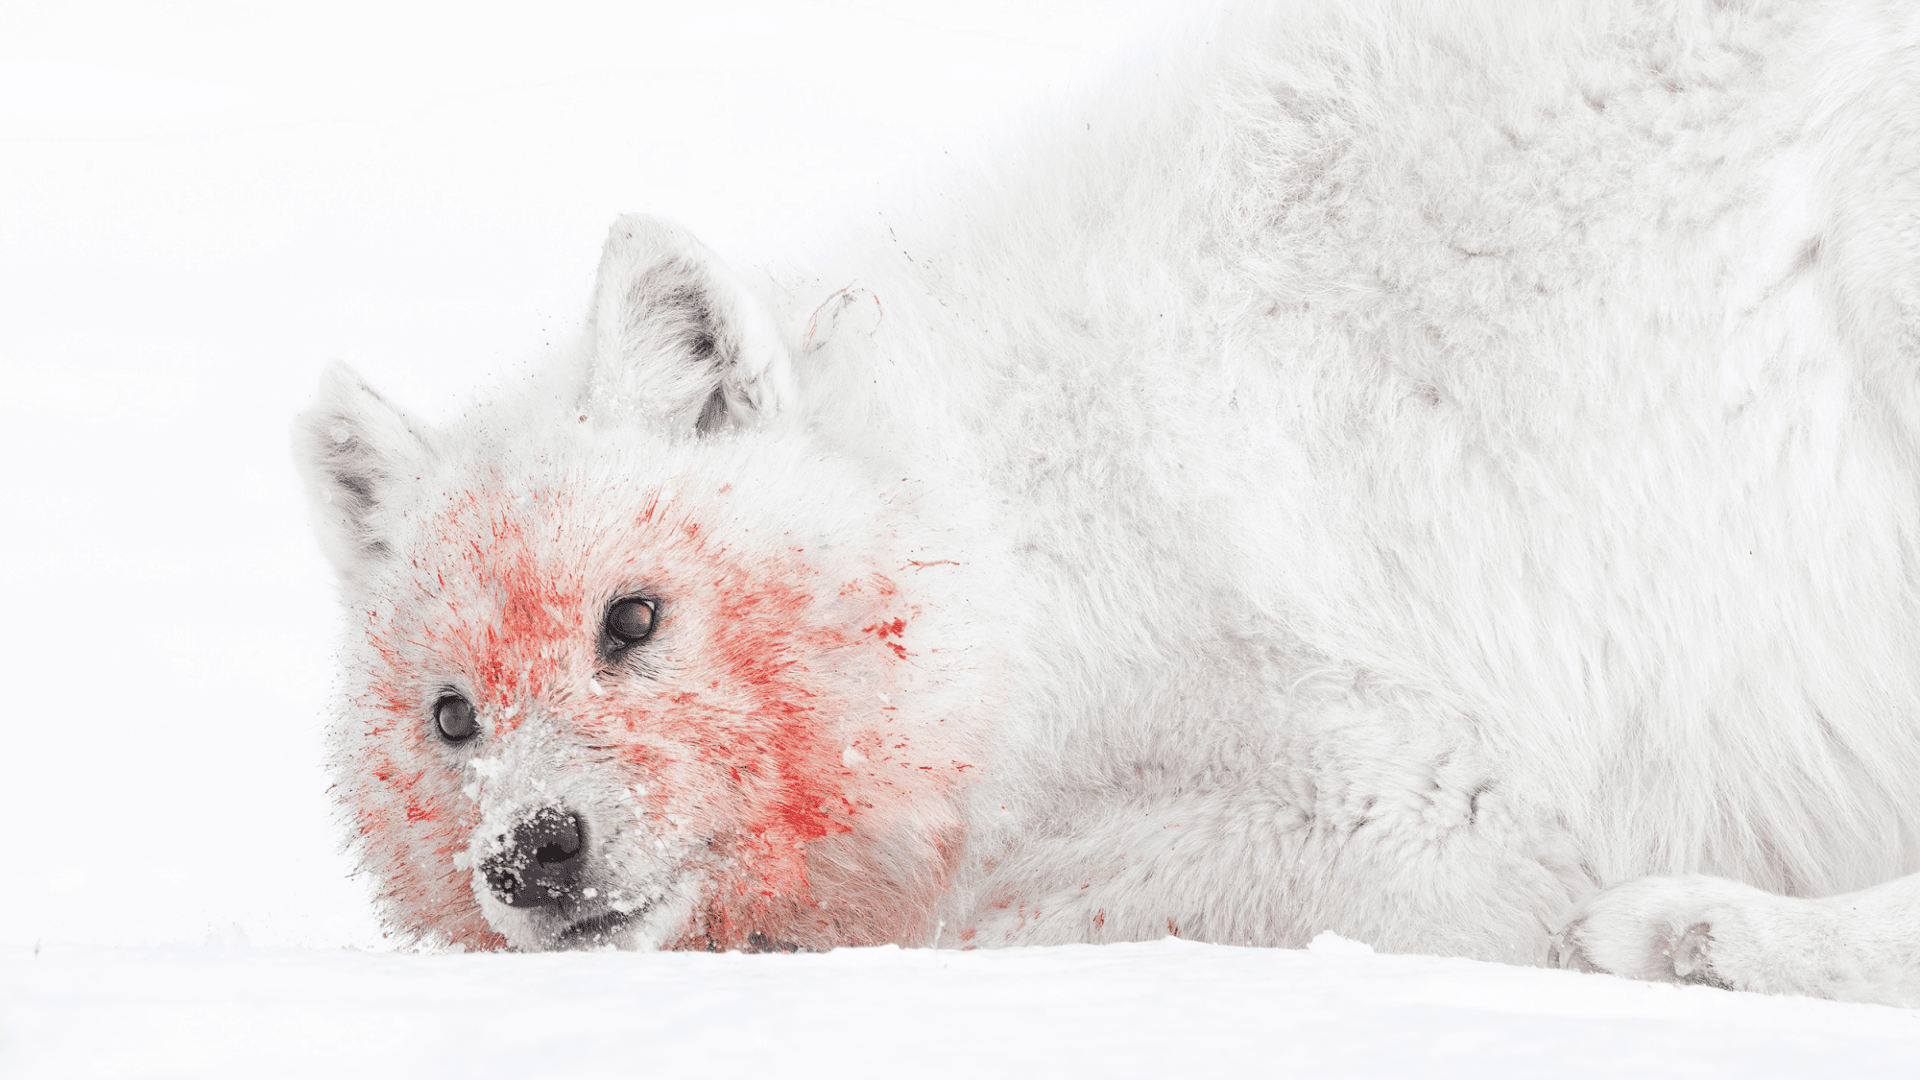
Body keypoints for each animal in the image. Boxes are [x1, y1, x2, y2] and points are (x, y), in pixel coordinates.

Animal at [297, 0, 1920, 1004]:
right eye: (452, 716)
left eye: (630, 620)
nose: (531, 851)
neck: (1000, 537)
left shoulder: (1425, 789)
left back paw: (1697, 932)